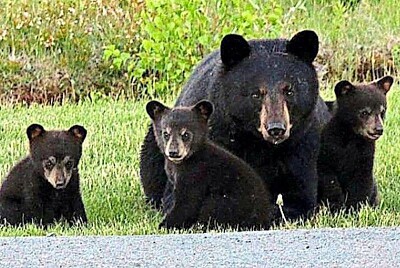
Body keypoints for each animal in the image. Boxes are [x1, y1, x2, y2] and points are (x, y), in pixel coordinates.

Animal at [145, 99, 274, 229]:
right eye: (165, 134)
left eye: (186, 134)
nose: (173, 152)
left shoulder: (196, 175)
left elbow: (188, 203)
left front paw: (163, 225)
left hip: (229, 204)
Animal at [318, 76, 394, 211]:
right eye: (364, 112)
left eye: (382, 111)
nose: (379, 129)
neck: (351, 135)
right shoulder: (326, 149)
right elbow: (329, 180)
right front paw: (336, 208)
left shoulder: (365, 153)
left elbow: (362, 181)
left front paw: (357, 209)